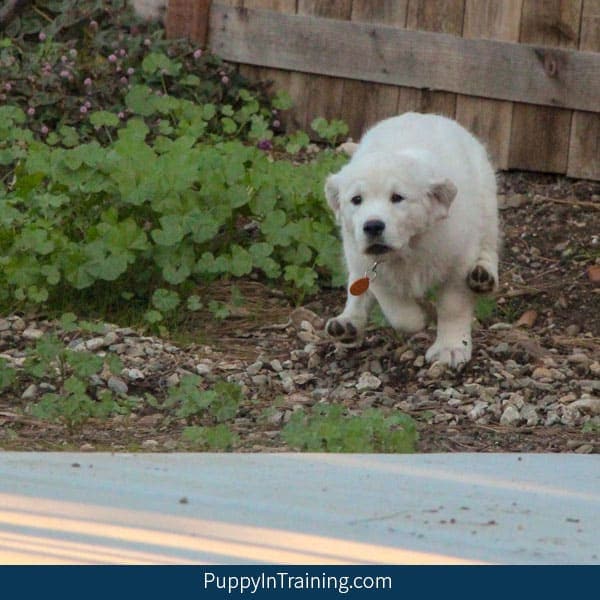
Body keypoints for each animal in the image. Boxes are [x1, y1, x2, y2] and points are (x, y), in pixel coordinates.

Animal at [326, 111, 500, 366]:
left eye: (397, 197)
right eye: (356, 199)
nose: (373, 226)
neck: (409, 246)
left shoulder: (459, 259)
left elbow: (453, 306)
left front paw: (450, 347)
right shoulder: (369, 264)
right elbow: (398, 311)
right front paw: (420, 316)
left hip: (486, 201)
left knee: (489, 244)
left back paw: (483, 275)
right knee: (356, 284)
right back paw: (347, 323)